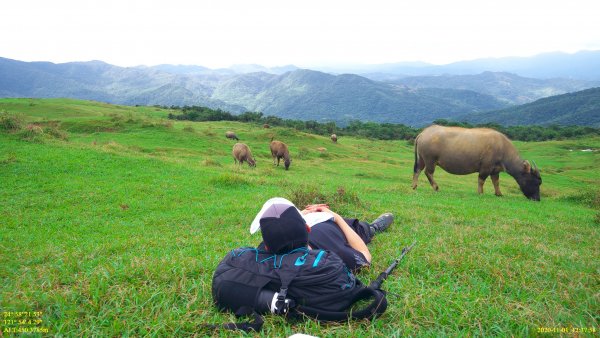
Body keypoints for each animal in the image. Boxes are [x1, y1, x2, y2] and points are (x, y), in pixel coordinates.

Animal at [412, 126, 544, 201]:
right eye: (536, 182)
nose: (537, 199)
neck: (503, 148)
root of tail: (424, 133)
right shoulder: (486, 167)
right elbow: (481, 180)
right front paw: (480, 192)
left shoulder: (495, 170)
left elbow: (496, 182)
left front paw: (499, 193)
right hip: (430, 160)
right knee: (428, 172)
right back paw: (435, 187)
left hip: (422, 159)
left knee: (417, 170)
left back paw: (414, 186)